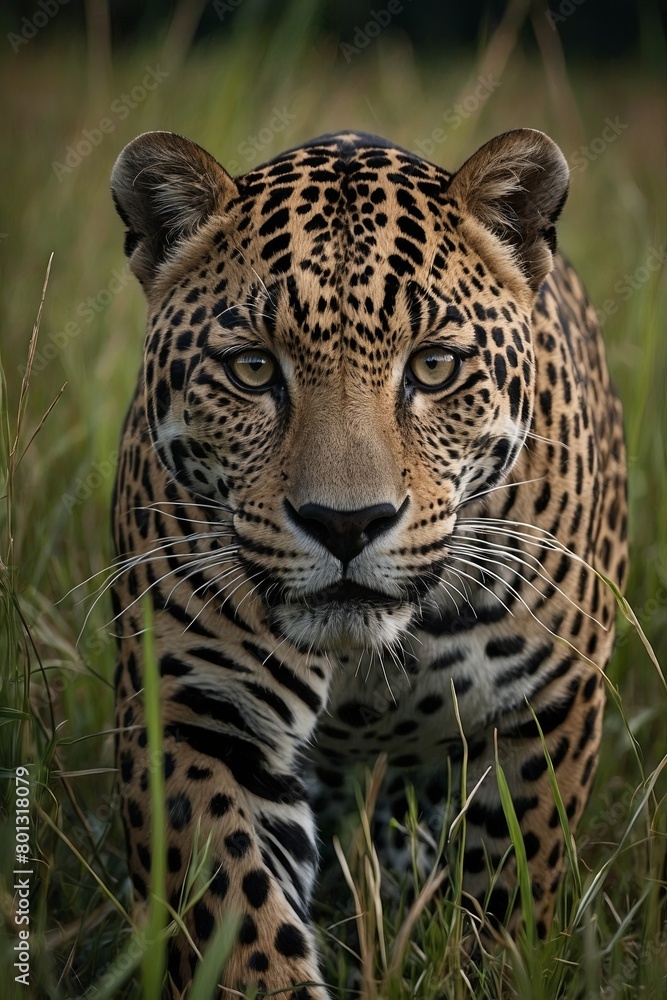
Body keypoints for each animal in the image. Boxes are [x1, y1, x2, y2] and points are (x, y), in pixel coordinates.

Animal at [109, 126, 628, 998]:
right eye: (253, 368)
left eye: (433, 367)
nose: (345, 524)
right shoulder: (195, 715)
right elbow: (239, 917)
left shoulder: (544, 711)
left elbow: (508, 888)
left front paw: (487, 964)